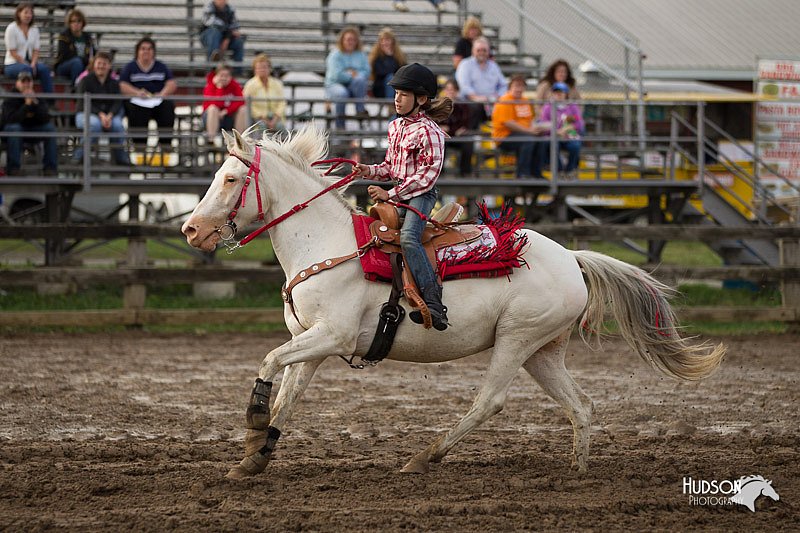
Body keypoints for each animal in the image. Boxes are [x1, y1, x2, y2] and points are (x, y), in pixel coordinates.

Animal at [180, 127, 724, 480]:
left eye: (231, 179)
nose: (190, 229)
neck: (326, 242)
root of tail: (572, 258)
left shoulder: (331, 336)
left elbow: (268, 362)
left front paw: (252, 422)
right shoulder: (309, 342)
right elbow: (288, 397)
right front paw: (254, 456)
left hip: (516, 339)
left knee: (490, 401)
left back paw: (425, 457)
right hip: (543, 351)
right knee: (581, 405)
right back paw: (578, 472)